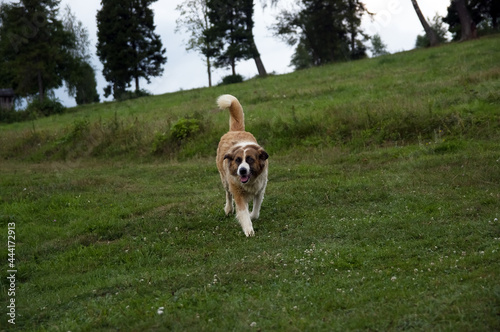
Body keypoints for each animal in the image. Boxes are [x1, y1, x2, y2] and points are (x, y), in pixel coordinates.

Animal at [216, 94, 270, 237]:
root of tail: (236, 130)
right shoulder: (238, 192)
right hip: (224, 180)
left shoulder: (260, 189)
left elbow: (255, 211)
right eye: (238, 160)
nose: (242, 171)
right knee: (228, 194)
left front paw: (252, 216)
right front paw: (248, 229)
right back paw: (229, 209)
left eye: (250, 160)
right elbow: (242, 211)